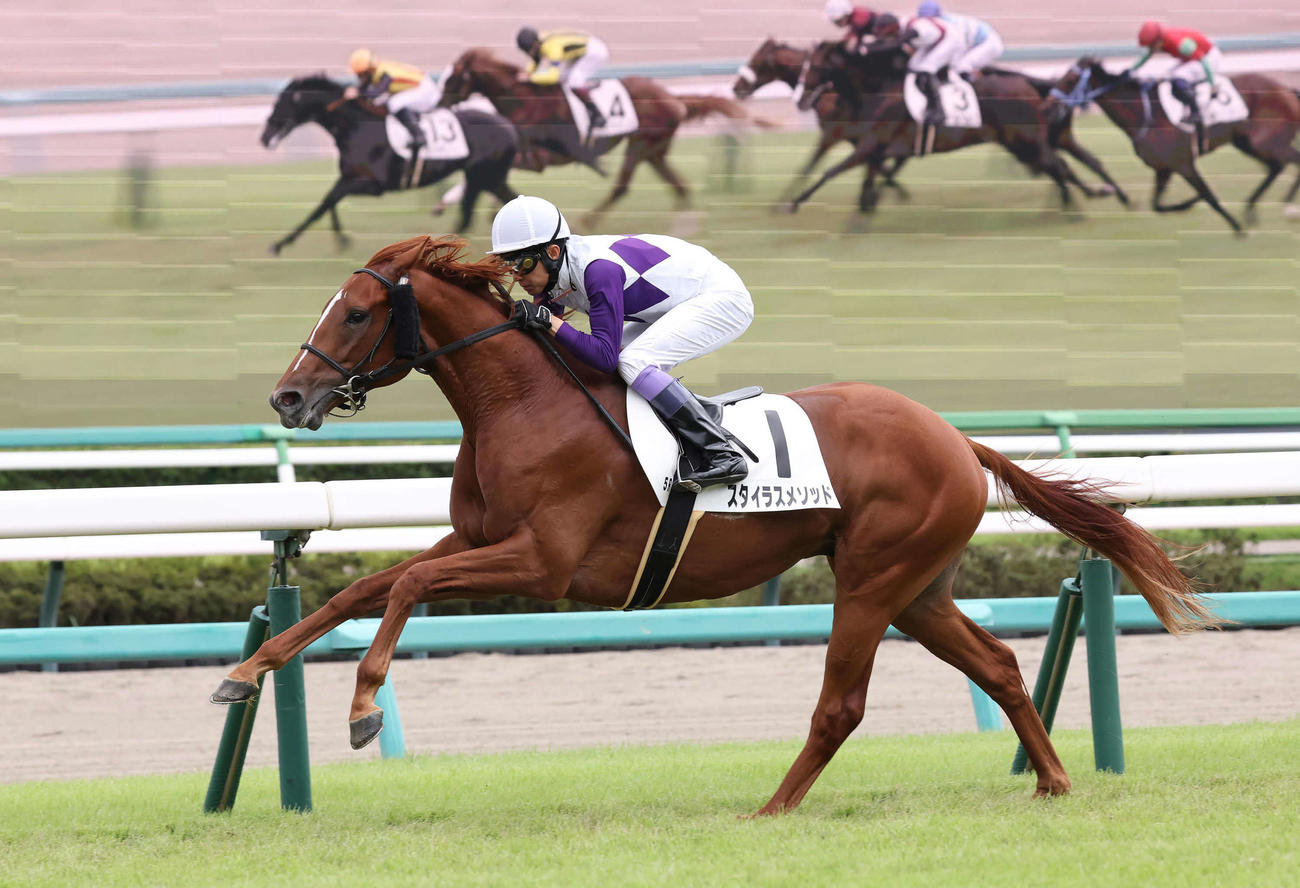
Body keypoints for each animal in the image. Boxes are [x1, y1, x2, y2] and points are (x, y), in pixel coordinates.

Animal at [210, 233, 1219, 816]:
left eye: (357, 311)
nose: (287, 397)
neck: (524, 402)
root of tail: (951, 435)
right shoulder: (476, 541)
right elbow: (360, 588)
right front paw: (246, 672)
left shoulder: (542, 562)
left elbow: (408, 586)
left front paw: (363, 708)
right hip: (918, 587)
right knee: (1000, 666)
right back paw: (1052, 780)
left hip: (874, 579)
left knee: (842, 704)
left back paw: (773, 810)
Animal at [260, 74, 519, 255]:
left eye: (282, 103)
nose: (264, 137)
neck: (356, 126)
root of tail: (508, 128)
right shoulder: (348, 178)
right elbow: (329, 202)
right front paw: (342, 240)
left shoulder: (372, 184)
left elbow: (325, 204)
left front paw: (280, 244)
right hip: (488, 178)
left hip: (481, 176)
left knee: (471, 214)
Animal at [436, 49, 756, 225]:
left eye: (453, 78)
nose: (439, 104)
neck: (523, 100)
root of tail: (673, 98)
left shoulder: (537, 158)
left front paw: (446, 203)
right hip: (653, 150)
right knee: (679, 186)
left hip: (640, 145)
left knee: (622, 187)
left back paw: (589, 221)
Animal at [789, 42, 1127, 214]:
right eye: (801, 65)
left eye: (815, 66)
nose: (800, 99)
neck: (879, 87)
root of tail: (1028, 83)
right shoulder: (877, 146)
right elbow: (868, 175)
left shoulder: (872, 144)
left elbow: (832, 171)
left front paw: (793, 203)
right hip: (1023, 141)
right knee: (1064, 164)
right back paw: (1096, 194)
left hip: (1025, 140)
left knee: (1058, 165)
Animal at [1048, 58, 1300, 232]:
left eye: (1069, 80)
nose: (1048, 105)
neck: (1144, 114)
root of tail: (1287, 89)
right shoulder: (1164, 168)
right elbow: (1157, 205)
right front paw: (1190, 203)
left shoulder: (1183, 163)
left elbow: (1209, 196)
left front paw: (1237, 229)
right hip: (1248, 143)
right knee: (1275, 167)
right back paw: (1252, 209)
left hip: (1266, 142)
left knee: (1285, 163)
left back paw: (1287, 207)